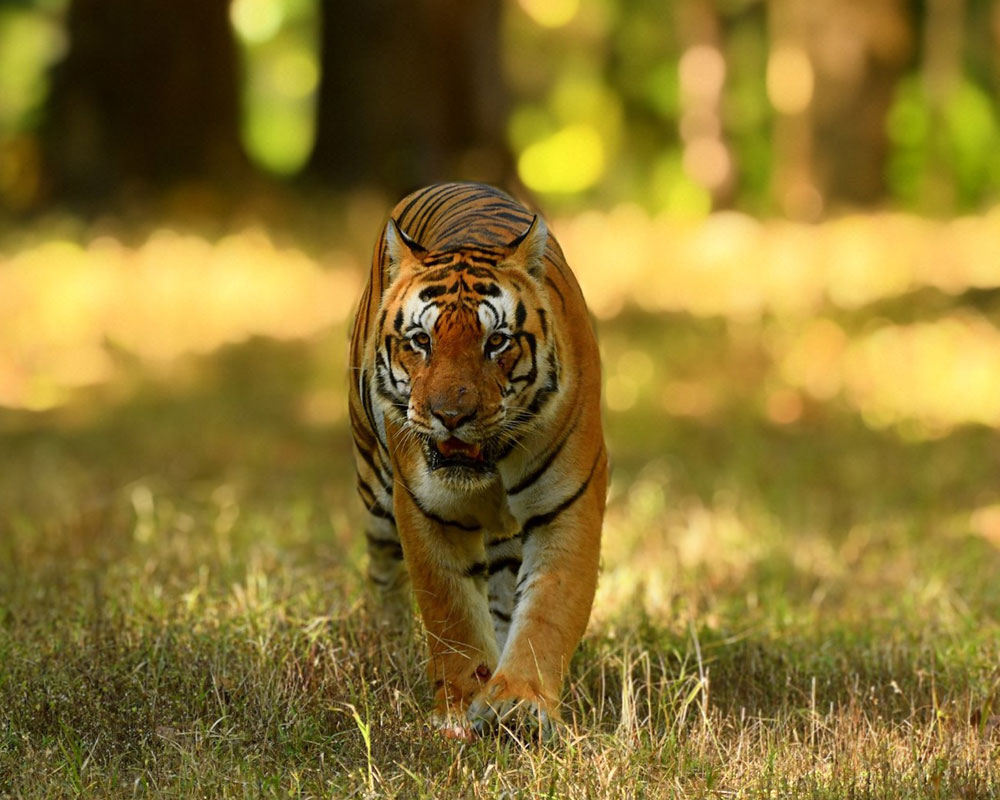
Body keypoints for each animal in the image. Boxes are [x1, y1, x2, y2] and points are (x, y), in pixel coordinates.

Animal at [348, 183, 604, 744]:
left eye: (497, 341)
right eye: (422, 341)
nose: (450, 416)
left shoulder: (566, 506)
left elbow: (547, 611)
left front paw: (520, 702)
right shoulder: (427, 511)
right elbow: (452, 616)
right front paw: (460, 710)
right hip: (375, 492)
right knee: (381, 569)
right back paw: (382, 635)